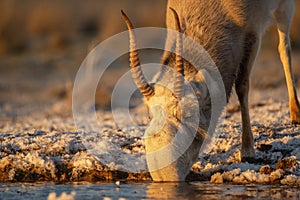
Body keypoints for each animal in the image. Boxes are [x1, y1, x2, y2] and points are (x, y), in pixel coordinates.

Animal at [120, 0, 298, 181]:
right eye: (150, 115)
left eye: (187, 113)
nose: (163, 174)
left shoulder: (252, 35)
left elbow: (242, 85)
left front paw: (248, 151)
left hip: (285, 8)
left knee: (284, 48)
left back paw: (295, 113)